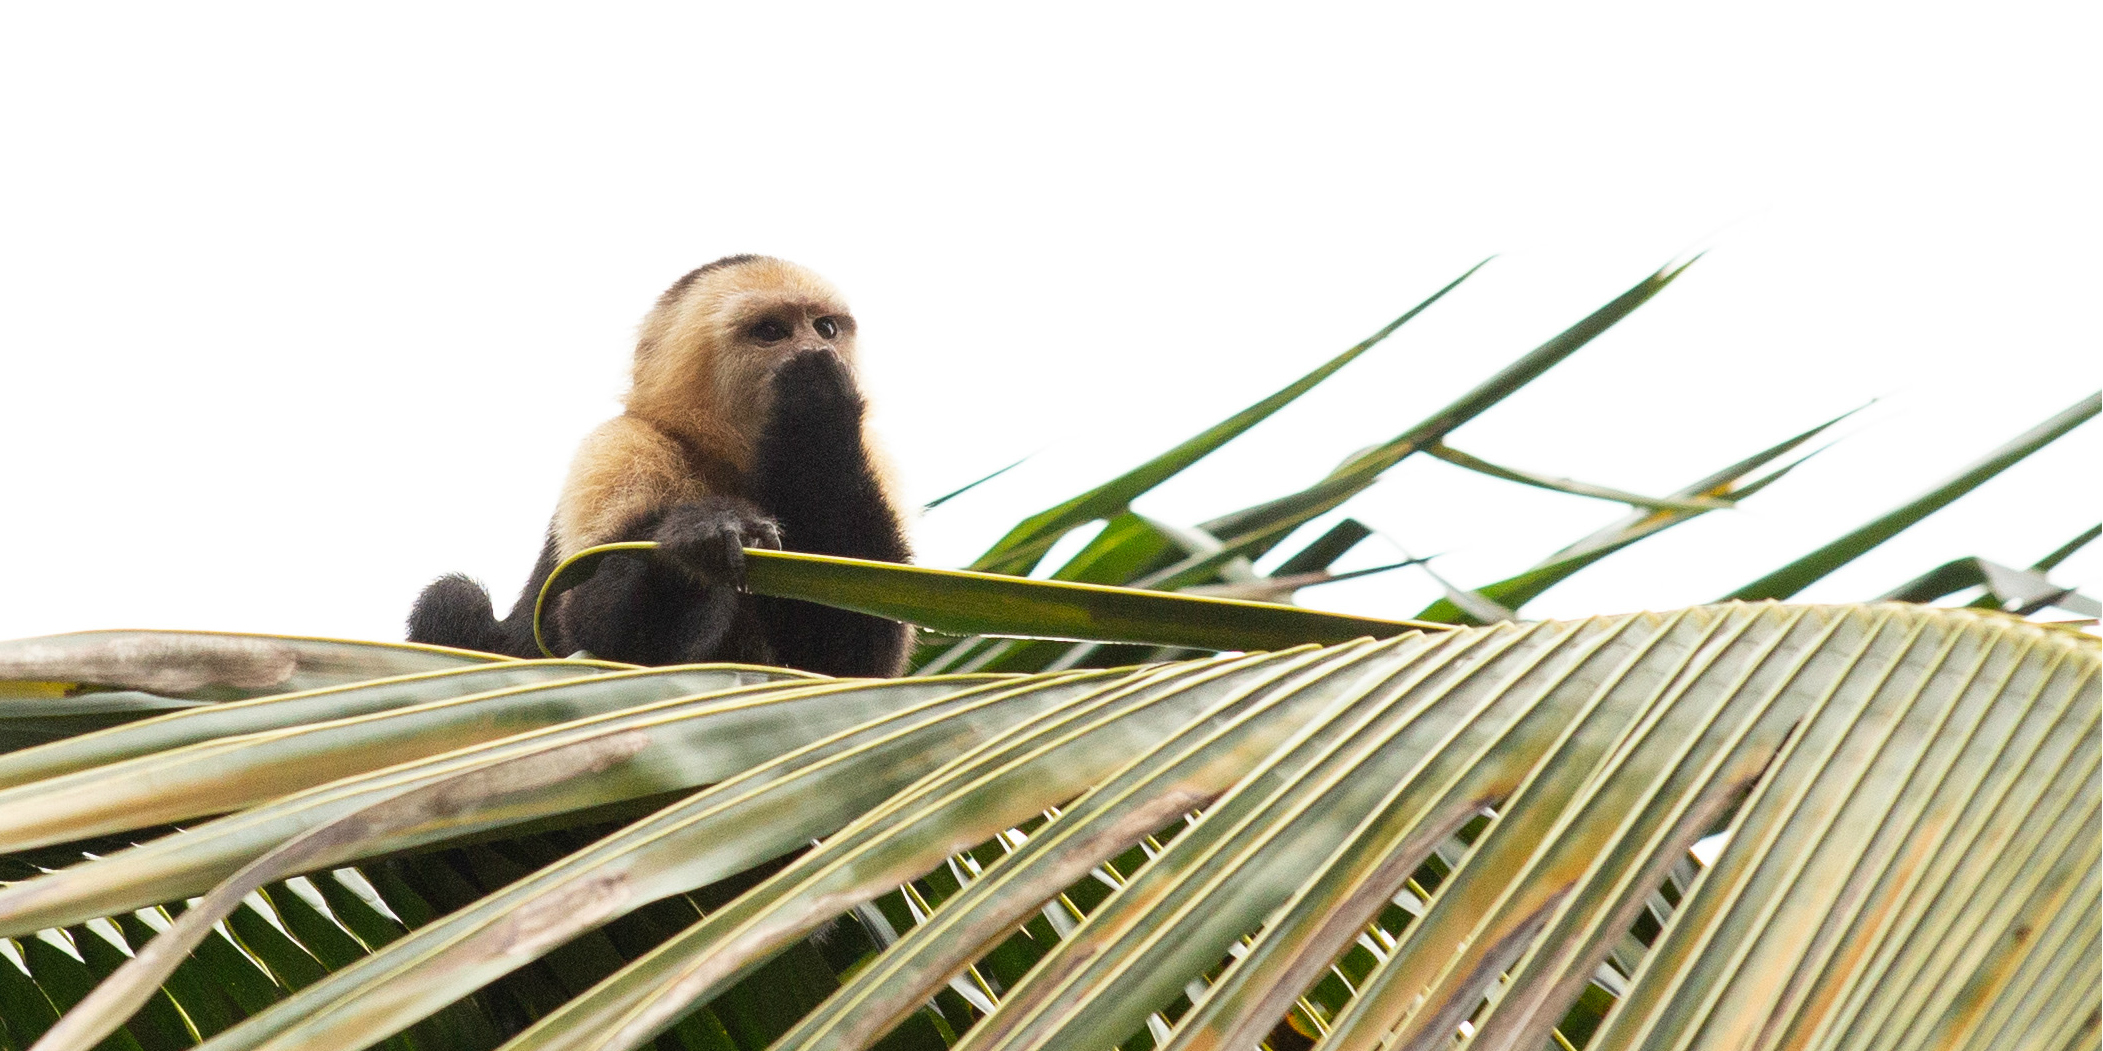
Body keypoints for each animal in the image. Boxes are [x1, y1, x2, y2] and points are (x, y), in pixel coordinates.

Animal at [401, 258, 912, 676]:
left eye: (825, 328)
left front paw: (818, 413)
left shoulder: (873, 458)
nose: (817, 351)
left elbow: (852, 656)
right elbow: (594, 631)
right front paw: (703, 535)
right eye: (771, 332)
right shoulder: (621, 446)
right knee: (454, 600)